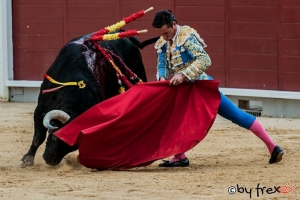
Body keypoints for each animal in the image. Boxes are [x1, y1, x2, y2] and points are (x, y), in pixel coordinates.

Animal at [19, 31, 159, 166]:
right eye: (54, 137)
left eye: (72, 147)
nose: (50, 161)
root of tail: (127, 38)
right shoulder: (41, 106)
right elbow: (38, 136)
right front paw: (27, 160)